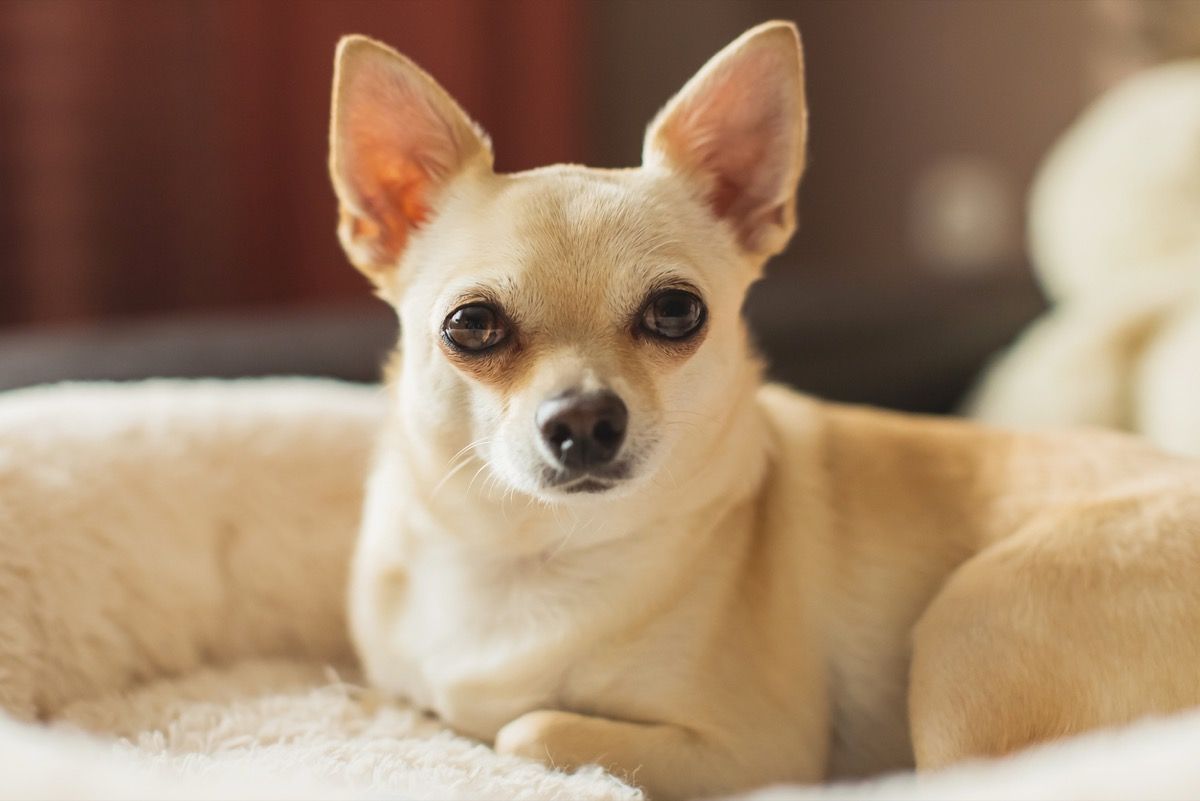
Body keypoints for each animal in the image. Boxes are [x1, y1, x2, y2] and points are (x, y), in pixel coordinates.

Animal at [328, 21, 1200, 796]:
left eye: (676, 312)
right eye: (470, 325)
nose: (583, 420)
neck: (527, 553)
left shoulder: (752, 752)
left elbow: (526, 725)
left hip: (976, 620)